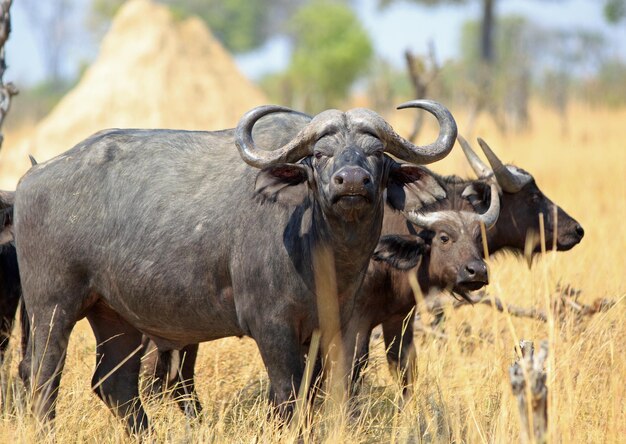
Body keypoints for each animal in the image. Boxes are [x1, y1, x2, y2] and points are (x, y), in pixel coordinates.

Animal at [13, 101, 454, 434]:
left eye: (376, 153)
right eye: (319, 154)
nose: (351, 181)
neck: (322, 251)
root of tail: (31, 177)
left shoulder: (329, 327)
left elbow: (315, 395)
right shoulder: (271, 326)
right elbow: (288, 396)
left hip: (115, 316)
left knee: (114, 383)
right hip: (51, 308)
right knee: (41, 374)